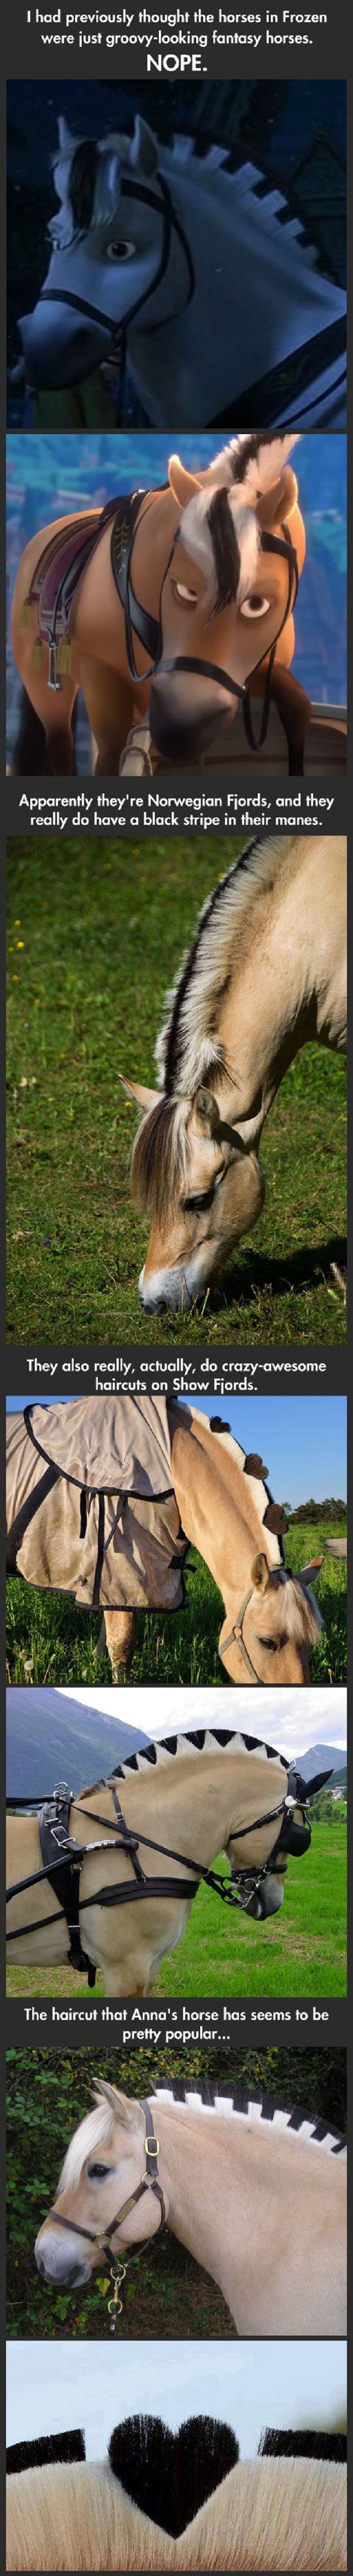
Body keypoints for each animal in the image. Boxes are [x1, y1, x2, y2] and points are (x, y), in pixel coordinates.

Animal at [6, 1396, 325, 1684]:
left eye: (312, 1643)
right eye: (267, 1642)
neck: (172, 1465)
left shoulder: (115, 1580)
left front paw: (93, 1665)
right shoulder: (122, 1570)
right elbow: (122, 1647)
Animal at [12, 432, 314, 776]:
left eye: (258, 604)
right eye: (184, 590)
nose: (179, 730)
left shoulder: (254, 671)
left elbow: (299, 709)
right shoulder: (101, 673)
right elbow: (110, 755)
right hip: (44, 684)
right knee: (61, 741)